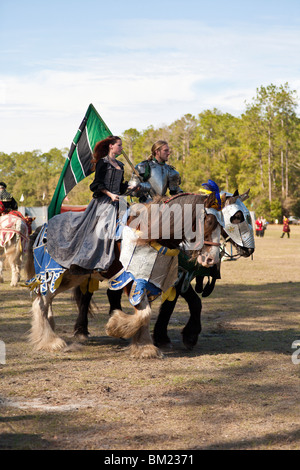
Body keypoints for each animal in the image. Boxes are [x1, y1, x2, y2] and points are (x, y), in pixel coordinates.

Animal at [25, 191, 223, 360]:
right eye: (208, 221)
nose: (212, 259)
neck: (150, 234)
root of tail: (42, 228)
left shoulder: (148, 280)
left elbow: (146, 313)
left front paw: (143, 345)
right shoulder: (131, 279)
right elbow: (144, 313)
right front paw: (117, 326)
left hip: (71, 276)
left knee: (47, 299)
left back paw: (49, 332)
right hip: (54, 273)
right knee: (41, 301)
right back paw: (51, 341)